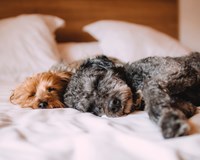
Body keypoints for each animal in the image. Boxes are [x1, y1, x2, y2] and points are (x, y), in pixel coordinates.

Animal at [64, 53, 200, 138]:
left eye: (97, 82)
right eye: (92, 108)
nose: (113, 106)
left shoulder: (177, 69)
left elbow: (149, 85)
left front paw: (168, 121)